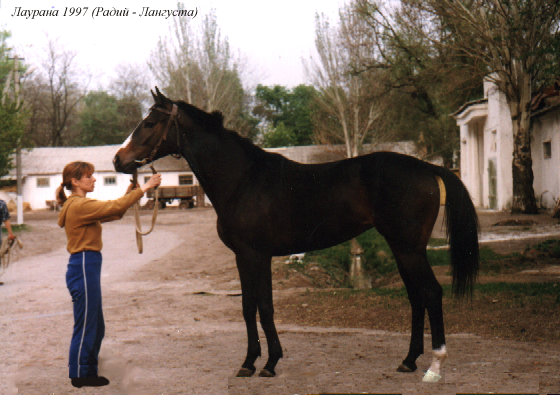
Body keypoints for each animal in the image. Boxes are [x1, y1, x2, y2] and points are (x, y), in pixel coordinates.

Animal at [115, 88, 482, 382]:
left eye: (150, 123)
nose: (119, 160)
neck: (242, 180)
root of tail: (428, 168)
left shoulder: (257, 254)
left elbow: (265, 306)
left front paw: (269, 363)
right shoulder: (242, 257)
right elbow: (248, 306)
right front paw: (249, 362)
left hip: (409, 249)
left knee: (431, 293)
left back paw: (434, 367)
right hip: (402, 248)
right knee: (416, 296)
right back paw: (408, 361)